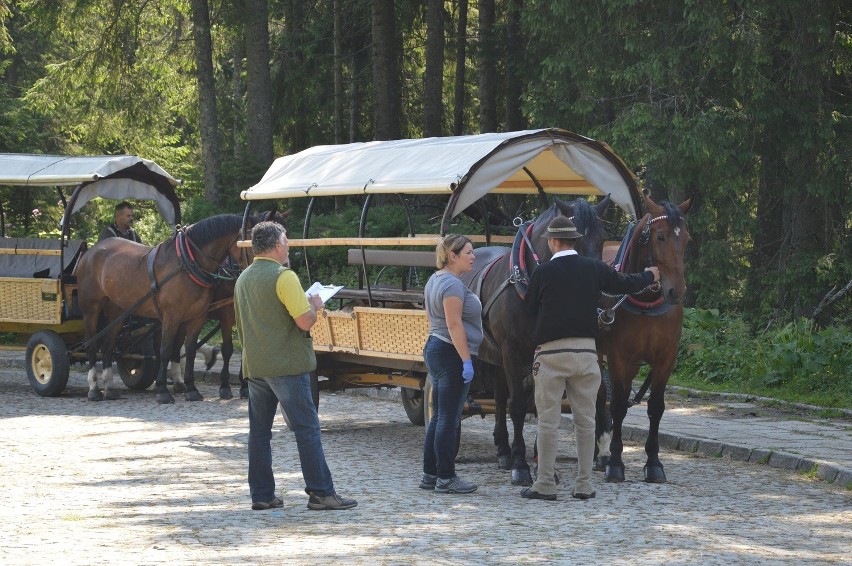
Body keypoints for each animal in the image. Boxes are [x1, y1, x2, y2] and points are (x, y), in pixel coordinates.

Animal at [75, 213, 250, 404]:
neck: (187, 263)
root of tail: (90, 252)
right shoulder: (174, 315)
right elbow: (166, 350)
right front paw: (163, 390)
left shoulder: (197, 316)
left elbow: (190, 350)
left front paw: (192, 389)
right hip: (91, 308)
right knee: (91, 344)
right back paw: (94, 389)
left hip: (117, 310)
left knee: (108, 345)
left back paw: (109, 388)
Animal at [592, 196, 692, 484]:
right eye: (660, 237)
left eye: (687, 239)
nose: (676, 291)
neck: (646, 299)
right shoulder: (618, 356)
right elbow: (616, 406)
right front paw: (615, 462)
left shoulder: (666, 357)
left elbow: (655, 407)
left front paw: (654, 462)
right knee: (600, 397)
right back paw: (601, 454)